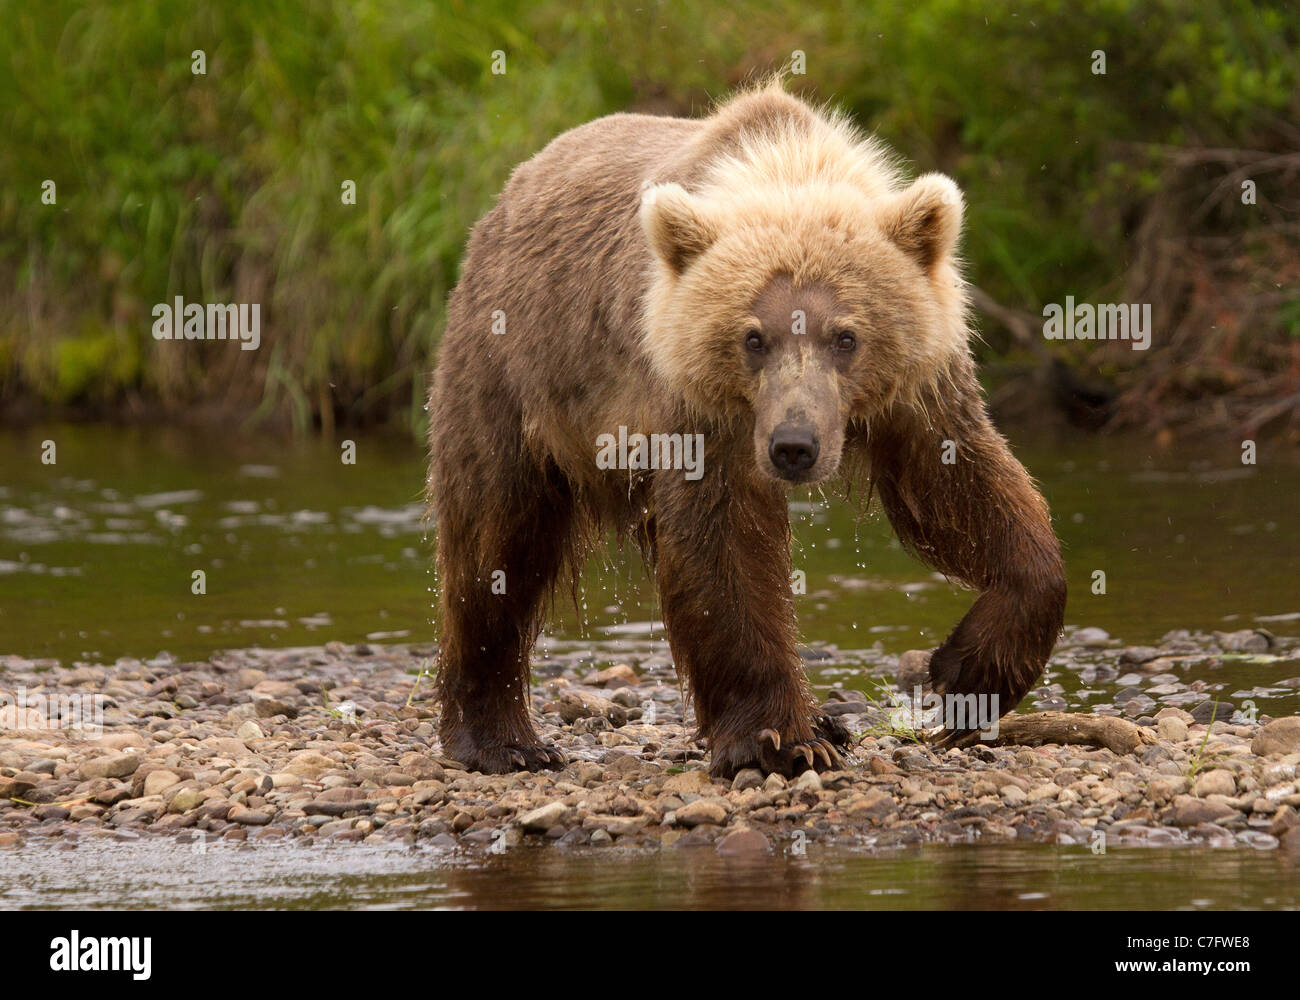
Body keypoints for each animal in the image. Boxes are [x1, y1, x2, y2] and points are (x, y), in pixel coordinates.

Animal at [426, 81, 1066, 775]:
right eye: (752, 338)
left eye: (846, 336)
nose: (794, 446)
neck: (788, 167)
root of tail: (507, 195)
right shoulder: (698, 407)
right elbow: (723, 541)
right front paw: (782, 739)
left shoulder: (920, 391)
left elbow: (965, 491)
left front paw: (965, 676)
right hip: (511, 374)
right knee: (496, 540)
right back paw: (502, 741)